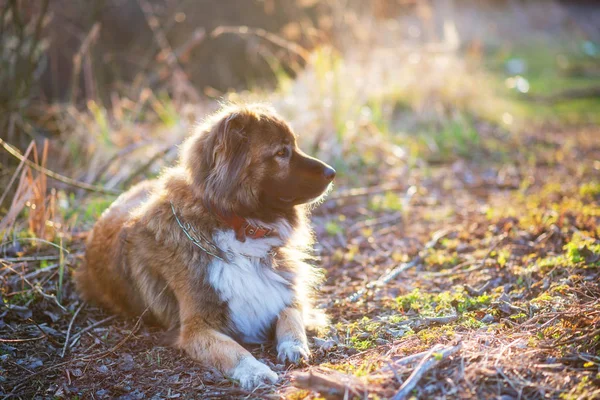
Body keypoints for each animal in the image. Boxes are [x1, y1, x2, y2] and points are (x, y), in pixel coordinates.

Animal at [75, 102, 336, 388]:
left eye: (294, 146)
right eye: (281, 152)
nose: (332, 173)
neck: (239, 227)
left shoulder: (282, 293)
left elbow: (291, 316)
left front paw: (295, 345)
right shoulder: (196, 328)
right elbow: (232, 349)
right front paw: (256, 371)